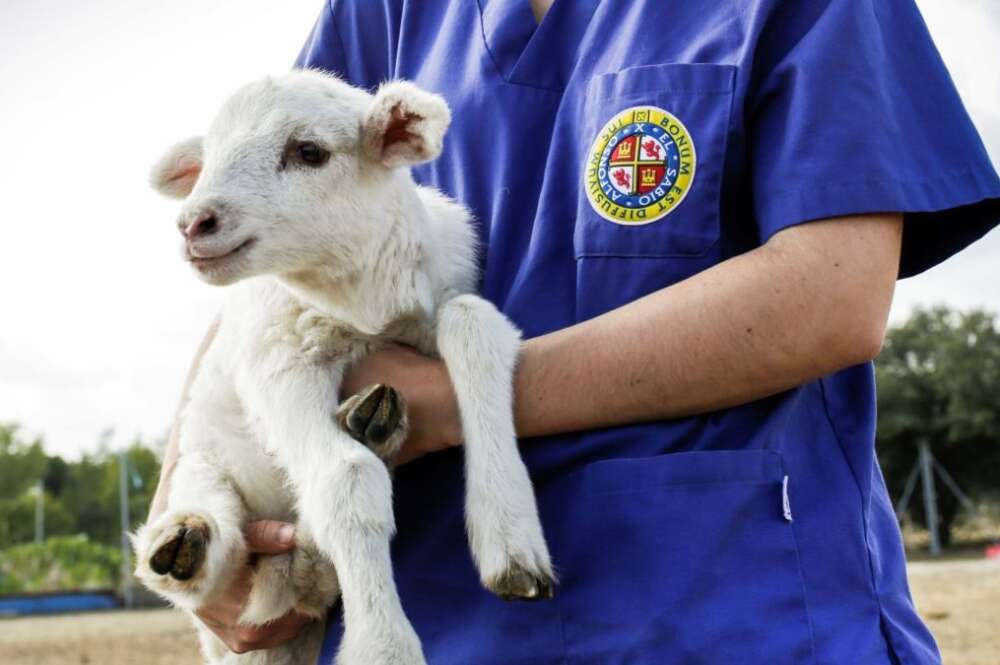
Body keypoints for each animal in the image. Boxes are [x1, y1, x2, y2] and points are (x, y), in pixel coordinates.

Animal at [132, 68, 556, 664]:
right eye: (209, 157)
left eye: (309, 151)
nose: (194, 223)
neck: (364, 307)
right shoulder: (281, 363)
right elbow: (345, 478)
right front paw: (383, 644)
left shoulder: (443, 300)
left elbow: (475, 325)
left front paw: (511, 535)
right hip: (201, 465)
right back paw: (184, 546)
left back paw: (370, 430)